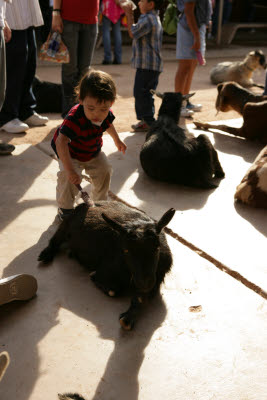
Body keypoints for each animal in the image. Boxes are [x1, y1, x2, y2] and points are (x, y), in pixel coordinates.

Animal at [38, 202, 176, 330]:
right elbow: (113, 291)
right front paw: (95, 278)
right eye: (126, 250)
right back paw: (45, 255)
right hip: (64, 226)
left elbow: (142, 298)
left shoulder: (156, 280)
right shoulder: (106, 271)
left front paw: (127, 319)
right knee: (55, 240)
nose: (144, 282)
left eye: (157, 247)